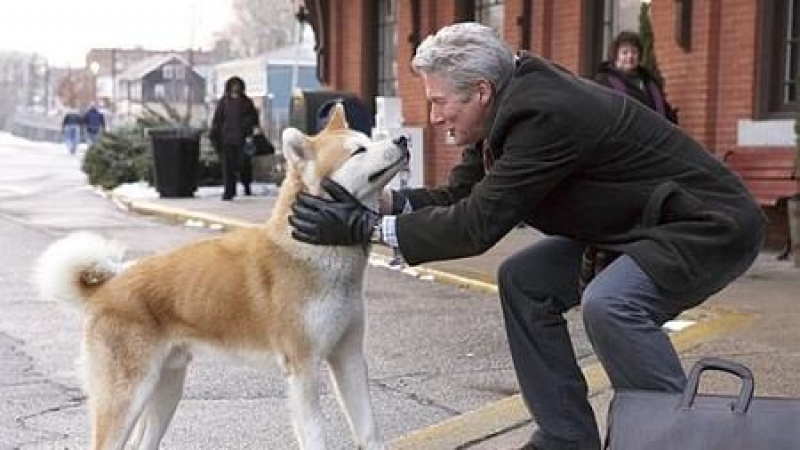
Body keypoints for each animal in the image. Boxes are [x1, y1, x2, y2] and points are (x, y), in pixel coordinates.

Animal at [34, 103, 410, 450]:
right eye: (358, 150)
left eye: (369, 138)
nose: (403, 139)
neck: (313, 250)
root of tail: (107, 288)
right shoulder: (303, 368)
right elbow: (316, 435)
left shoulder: (348, 357)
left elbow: (369, 430)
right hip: (126, 398)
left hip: (166, 389)